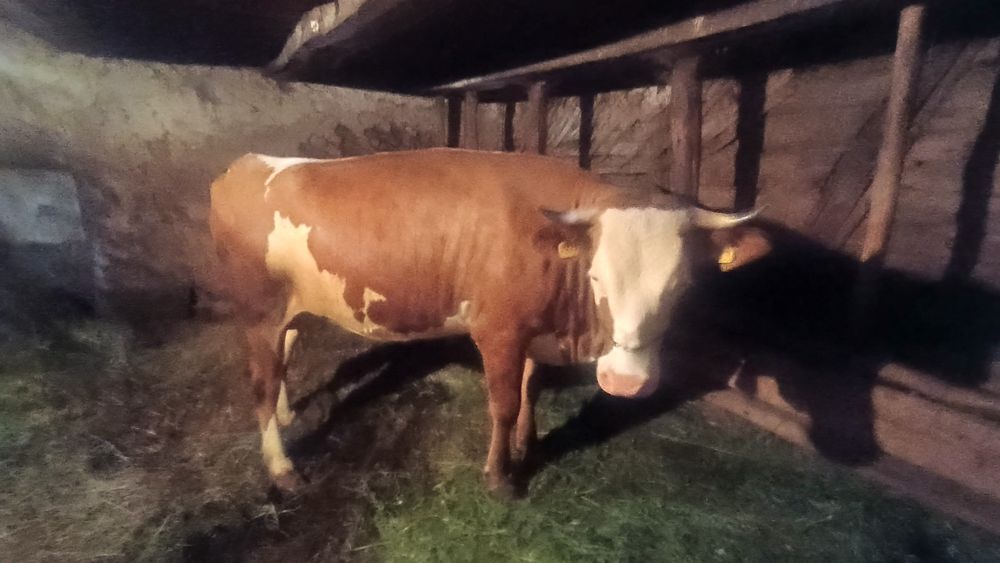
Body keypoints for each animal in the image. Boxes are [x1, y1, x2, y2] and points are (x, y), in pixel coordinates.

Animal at [209, 148, 765, 496]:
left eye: (683, 287)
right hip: (258, 309)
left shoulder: (535, 331)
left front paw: (526, 442)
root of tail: (247, 163)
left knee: (285, 355)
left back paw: (288, 415)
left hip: (289, 308)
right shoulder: (498, 330)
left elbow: (530, 388)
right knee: (261, 382)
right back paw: (282, 468)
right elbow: (503, 402)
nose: (624, 383)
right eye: (596, 276)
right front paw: (500, 477)